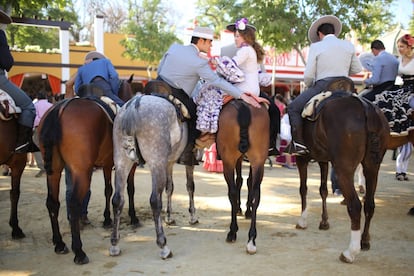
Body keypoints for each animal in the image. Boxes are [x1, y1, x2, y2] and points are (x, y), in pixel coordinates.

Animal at [38, 76, 137, 264]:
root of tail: (60, 109)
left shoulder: (107, 164)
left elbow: (108, 190)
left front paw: (107, 219)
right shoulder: (129, 165)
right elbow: (129, 189)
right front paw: (134, 217)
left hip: (54, 170)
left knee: (52, 203)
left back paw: (59, 243)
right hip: (82, 172)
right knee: (74, 204)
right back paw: (79, 251)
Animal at [215, 98, 270, 254]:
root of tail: (244, 107)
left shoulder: (234, 159)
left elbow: (238, 182)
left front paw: (241, 210)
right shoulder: (246, 159)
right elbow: (246, 181)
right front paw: (246, 210)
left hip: (228, 160)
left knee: (232, 192)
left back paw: (232, 231)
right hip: (258, 159)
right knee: (256, 193)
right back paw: (251, 239)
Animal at [296, 90, 390, 264]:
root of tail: (366, 107)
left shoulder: (302, 159)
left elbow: (303, 189)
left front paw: (302, 221)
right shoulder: (323, 160)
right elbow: (323, 191)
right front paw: (324, 221)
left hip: (343, 171)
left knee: (355, 206)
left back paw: (350, 252)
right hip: (372, 168)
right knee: (369, 204)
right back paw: (364, 241)